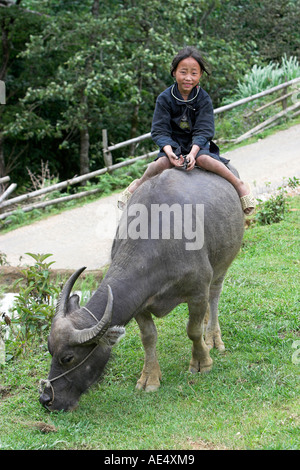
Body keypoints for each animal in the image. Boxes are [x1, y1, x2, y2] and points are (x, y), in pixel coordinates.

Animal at [39, 167, 244, 410]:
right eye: (50, 351)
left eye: (68, 358)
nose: (46, 399)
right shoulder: (139, 305)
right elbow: (148, 338)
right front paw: (149, 378)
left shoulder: (197, 292)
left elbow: (192, 331)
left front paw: (202, 362)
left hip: (222, 265)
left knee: (214, 296)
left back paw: (212, 338)